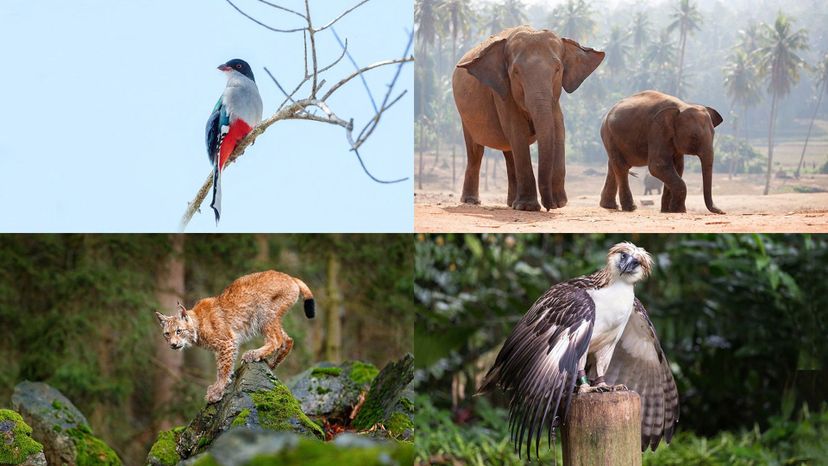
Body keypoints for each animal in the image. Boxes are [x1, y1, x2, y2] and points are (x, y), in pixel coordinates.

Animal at [450, 26, 604, 212]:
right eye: (516, 72)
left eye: (558, 69)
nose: (549, 206)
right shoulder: (503, 94)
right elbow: (517, 132)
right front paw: (528, 207)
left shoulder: (554, 99)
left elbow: (559, 130)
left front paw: (560, 203)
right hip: (465, 117)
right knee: (476, 151)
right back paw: (472, 201)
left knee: (509, 152)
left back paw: (511, 203)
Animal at [596, 90, 724, 214]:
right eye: (694, 137)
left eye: (713, 134)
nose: (721, 211)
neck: (682, 106)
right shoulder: (657, 130)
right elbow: (658, 166)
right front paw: (679, 210)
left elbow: (678, 167)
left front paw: (668, 210)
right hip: (609, 135)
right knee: (621, 167)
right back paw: (630, 208)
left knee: (613, 166)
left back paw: (609, 206)